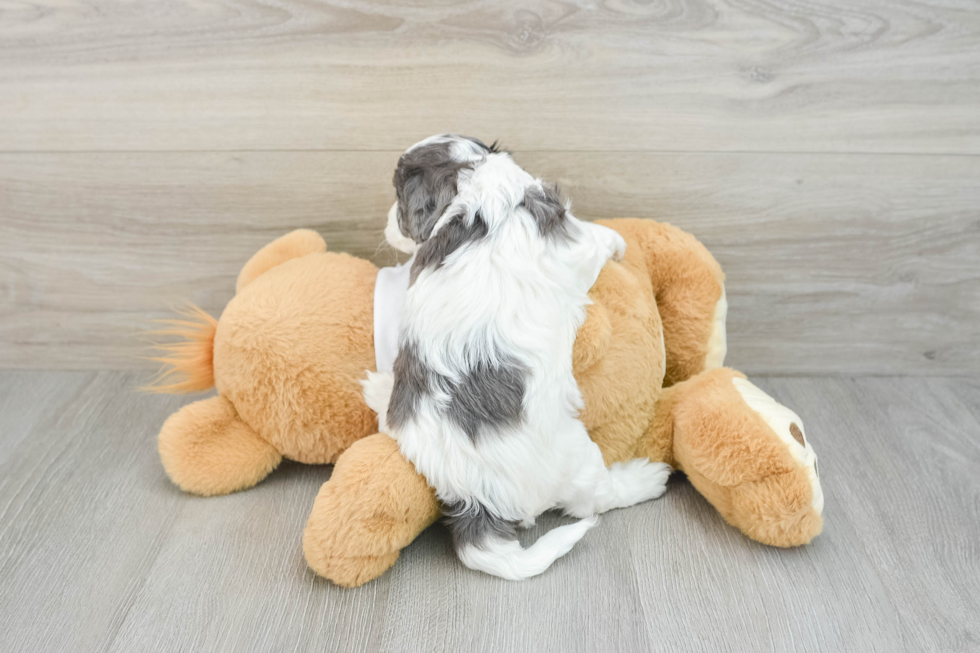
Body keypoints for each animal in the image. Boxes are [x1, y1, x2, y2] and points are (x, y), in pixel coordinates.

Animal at [364, 135, 668, 580]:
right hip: (577, 458)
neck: (476, 182)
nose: (387, 221)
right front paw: (617, 242)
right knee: (595, 500)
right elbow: (597, 237)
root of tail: (475, 501)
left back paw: (379, 388)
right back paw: (647, 478)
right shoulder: (575, 241)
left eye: (398, 199)